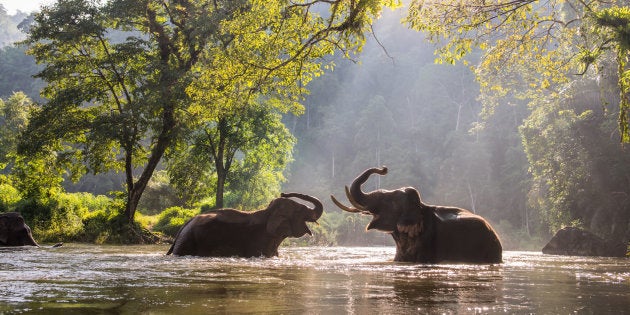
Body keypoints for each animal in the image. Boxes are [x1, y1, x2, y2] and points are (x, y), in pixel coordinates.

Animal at [167, 194, 324, 258]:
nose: (284, 193)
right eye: (299, 210)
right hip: (187, 242)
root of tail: (183, 226)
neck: (268, 212)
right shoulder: (258, 240)